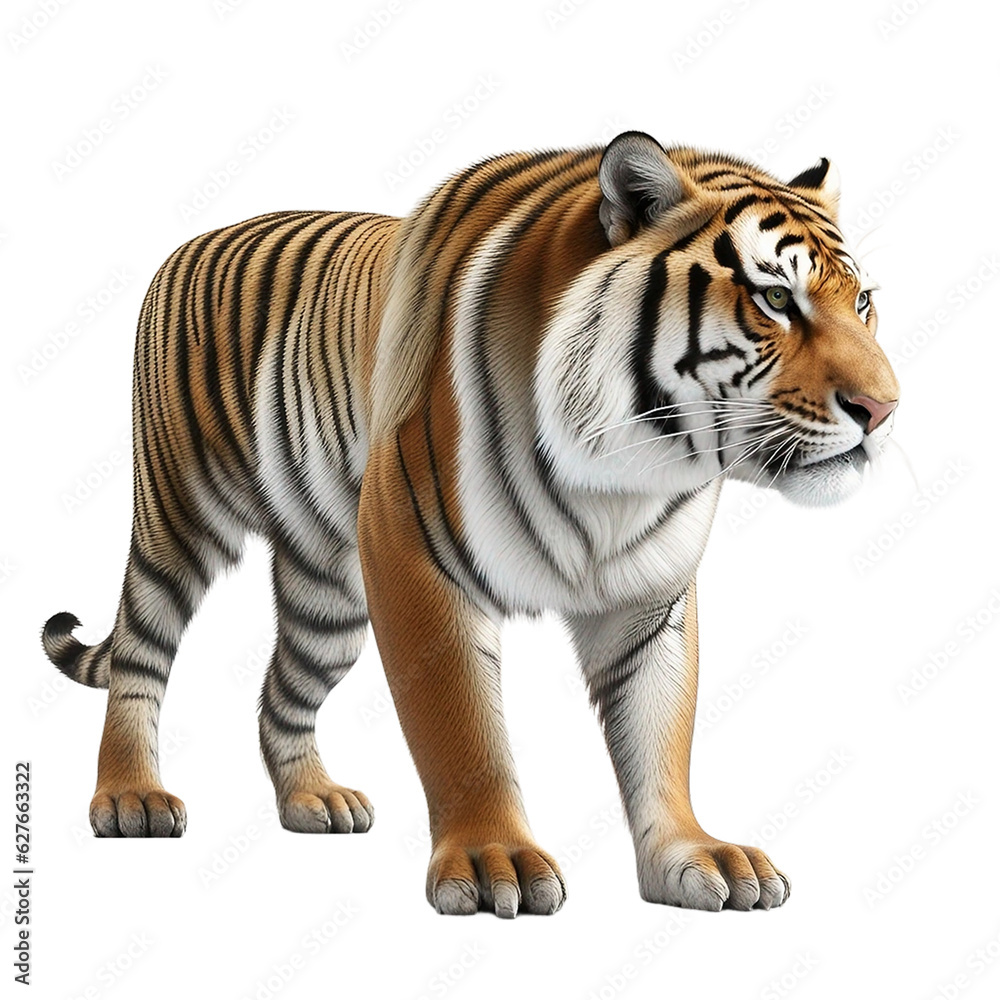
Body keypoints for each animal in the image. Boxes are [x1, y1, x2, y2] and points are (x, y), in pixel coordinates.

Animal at [42, 130, 899, 917]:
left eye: (862, 303)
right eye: (776, 300)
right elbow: (462, 731)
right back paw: (131, 799)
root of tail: (191, 242)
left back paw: (312, 799)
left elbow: (661, 733)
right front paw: (495, 862)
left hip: (331, 593)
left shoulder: (649, 601)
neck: (628, 469)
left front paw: (695, 856)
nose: (885, 409)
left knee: (282, 690)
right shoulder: (416, 561)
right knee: (141, 653)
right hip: (180, 517)